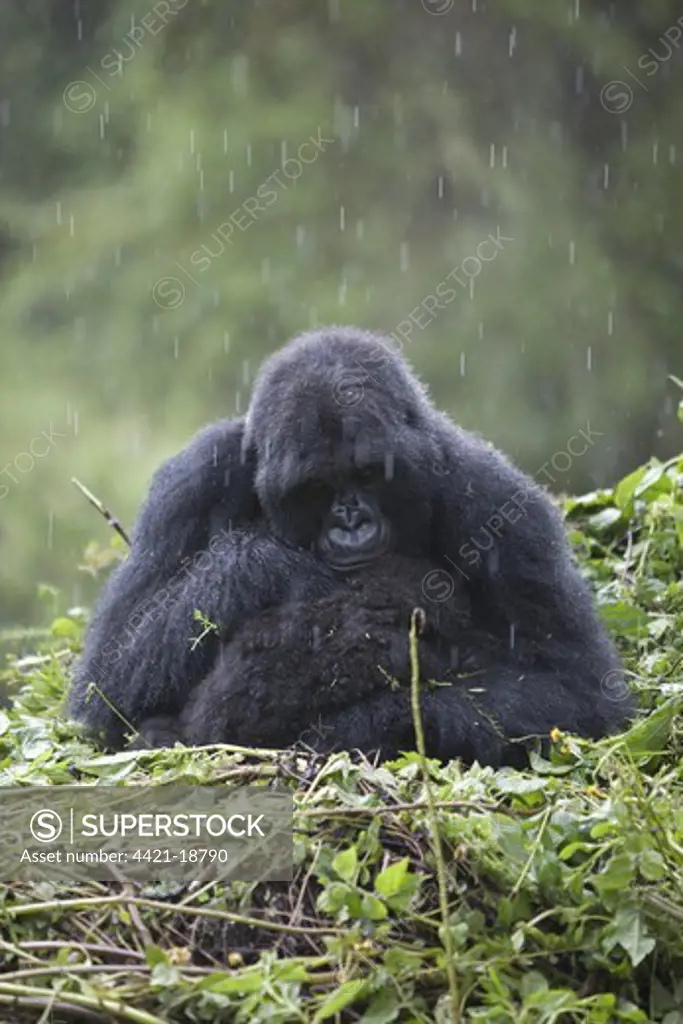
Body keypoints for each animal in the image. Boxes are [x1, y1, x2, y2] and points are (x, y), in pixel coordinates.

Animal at [66, 323, 634, 765]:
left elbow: (578, 691)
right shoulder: (192, 482)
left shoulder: (497, 501)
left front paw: (360, 725)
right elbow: (105, 682)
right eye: (318, 488)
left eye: (368, 474)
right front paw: (266, 565)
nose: (351, 521)